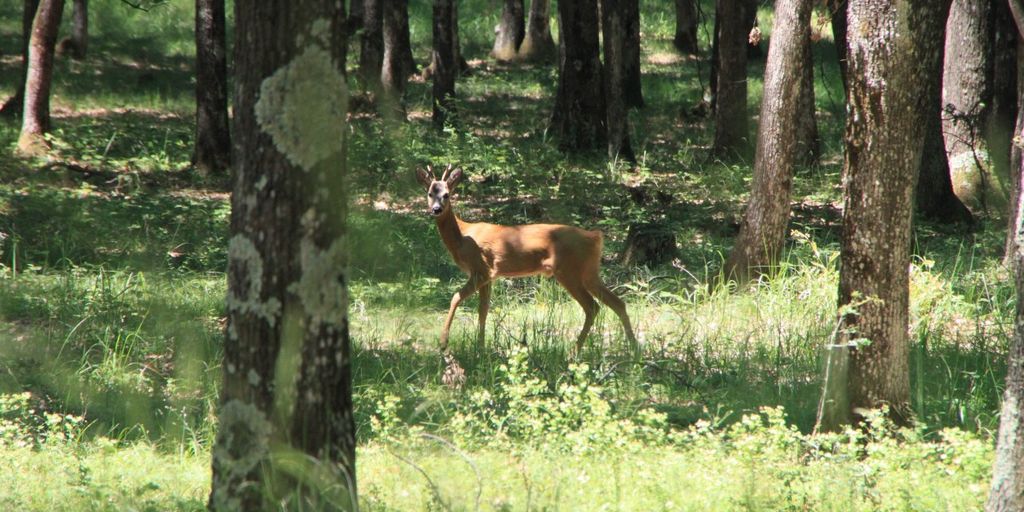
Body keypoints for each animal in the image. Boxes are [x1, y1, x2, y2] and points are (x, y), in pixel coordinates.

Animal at [413, 163, 634, 356]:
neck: (463, 235)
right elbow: (483, 310)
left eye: (446, 194)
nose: (436, 209)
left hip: (568, 271)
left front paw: (443, 343)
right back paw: (633, 349)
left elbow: (456, 298)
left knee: (592, 306)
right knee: (617, 303)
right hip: (589, 271)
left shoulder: (481, 269)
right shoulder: (488, 276)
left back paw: (574, 352)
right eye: (430, 193)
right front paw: (481, 348)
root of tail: (595, 237)